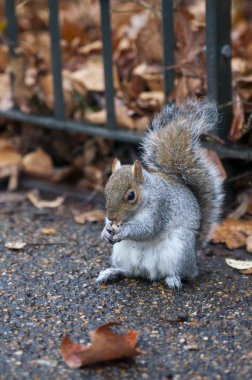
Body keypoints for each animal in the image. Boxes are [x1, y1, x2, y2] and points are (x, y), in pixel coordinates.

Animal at [97, 99, 223, 290]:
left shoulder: (160, 208)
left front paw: (124, 231)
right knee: (127, 271)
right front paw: (105, 231)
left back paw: (173, 279)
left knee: (180, 273)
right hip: (121, 254)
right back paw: (111, 272)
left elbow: (147, 229)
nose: (112, 218)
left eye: (131, 196)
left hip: (178, 252)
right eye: (106, 191)